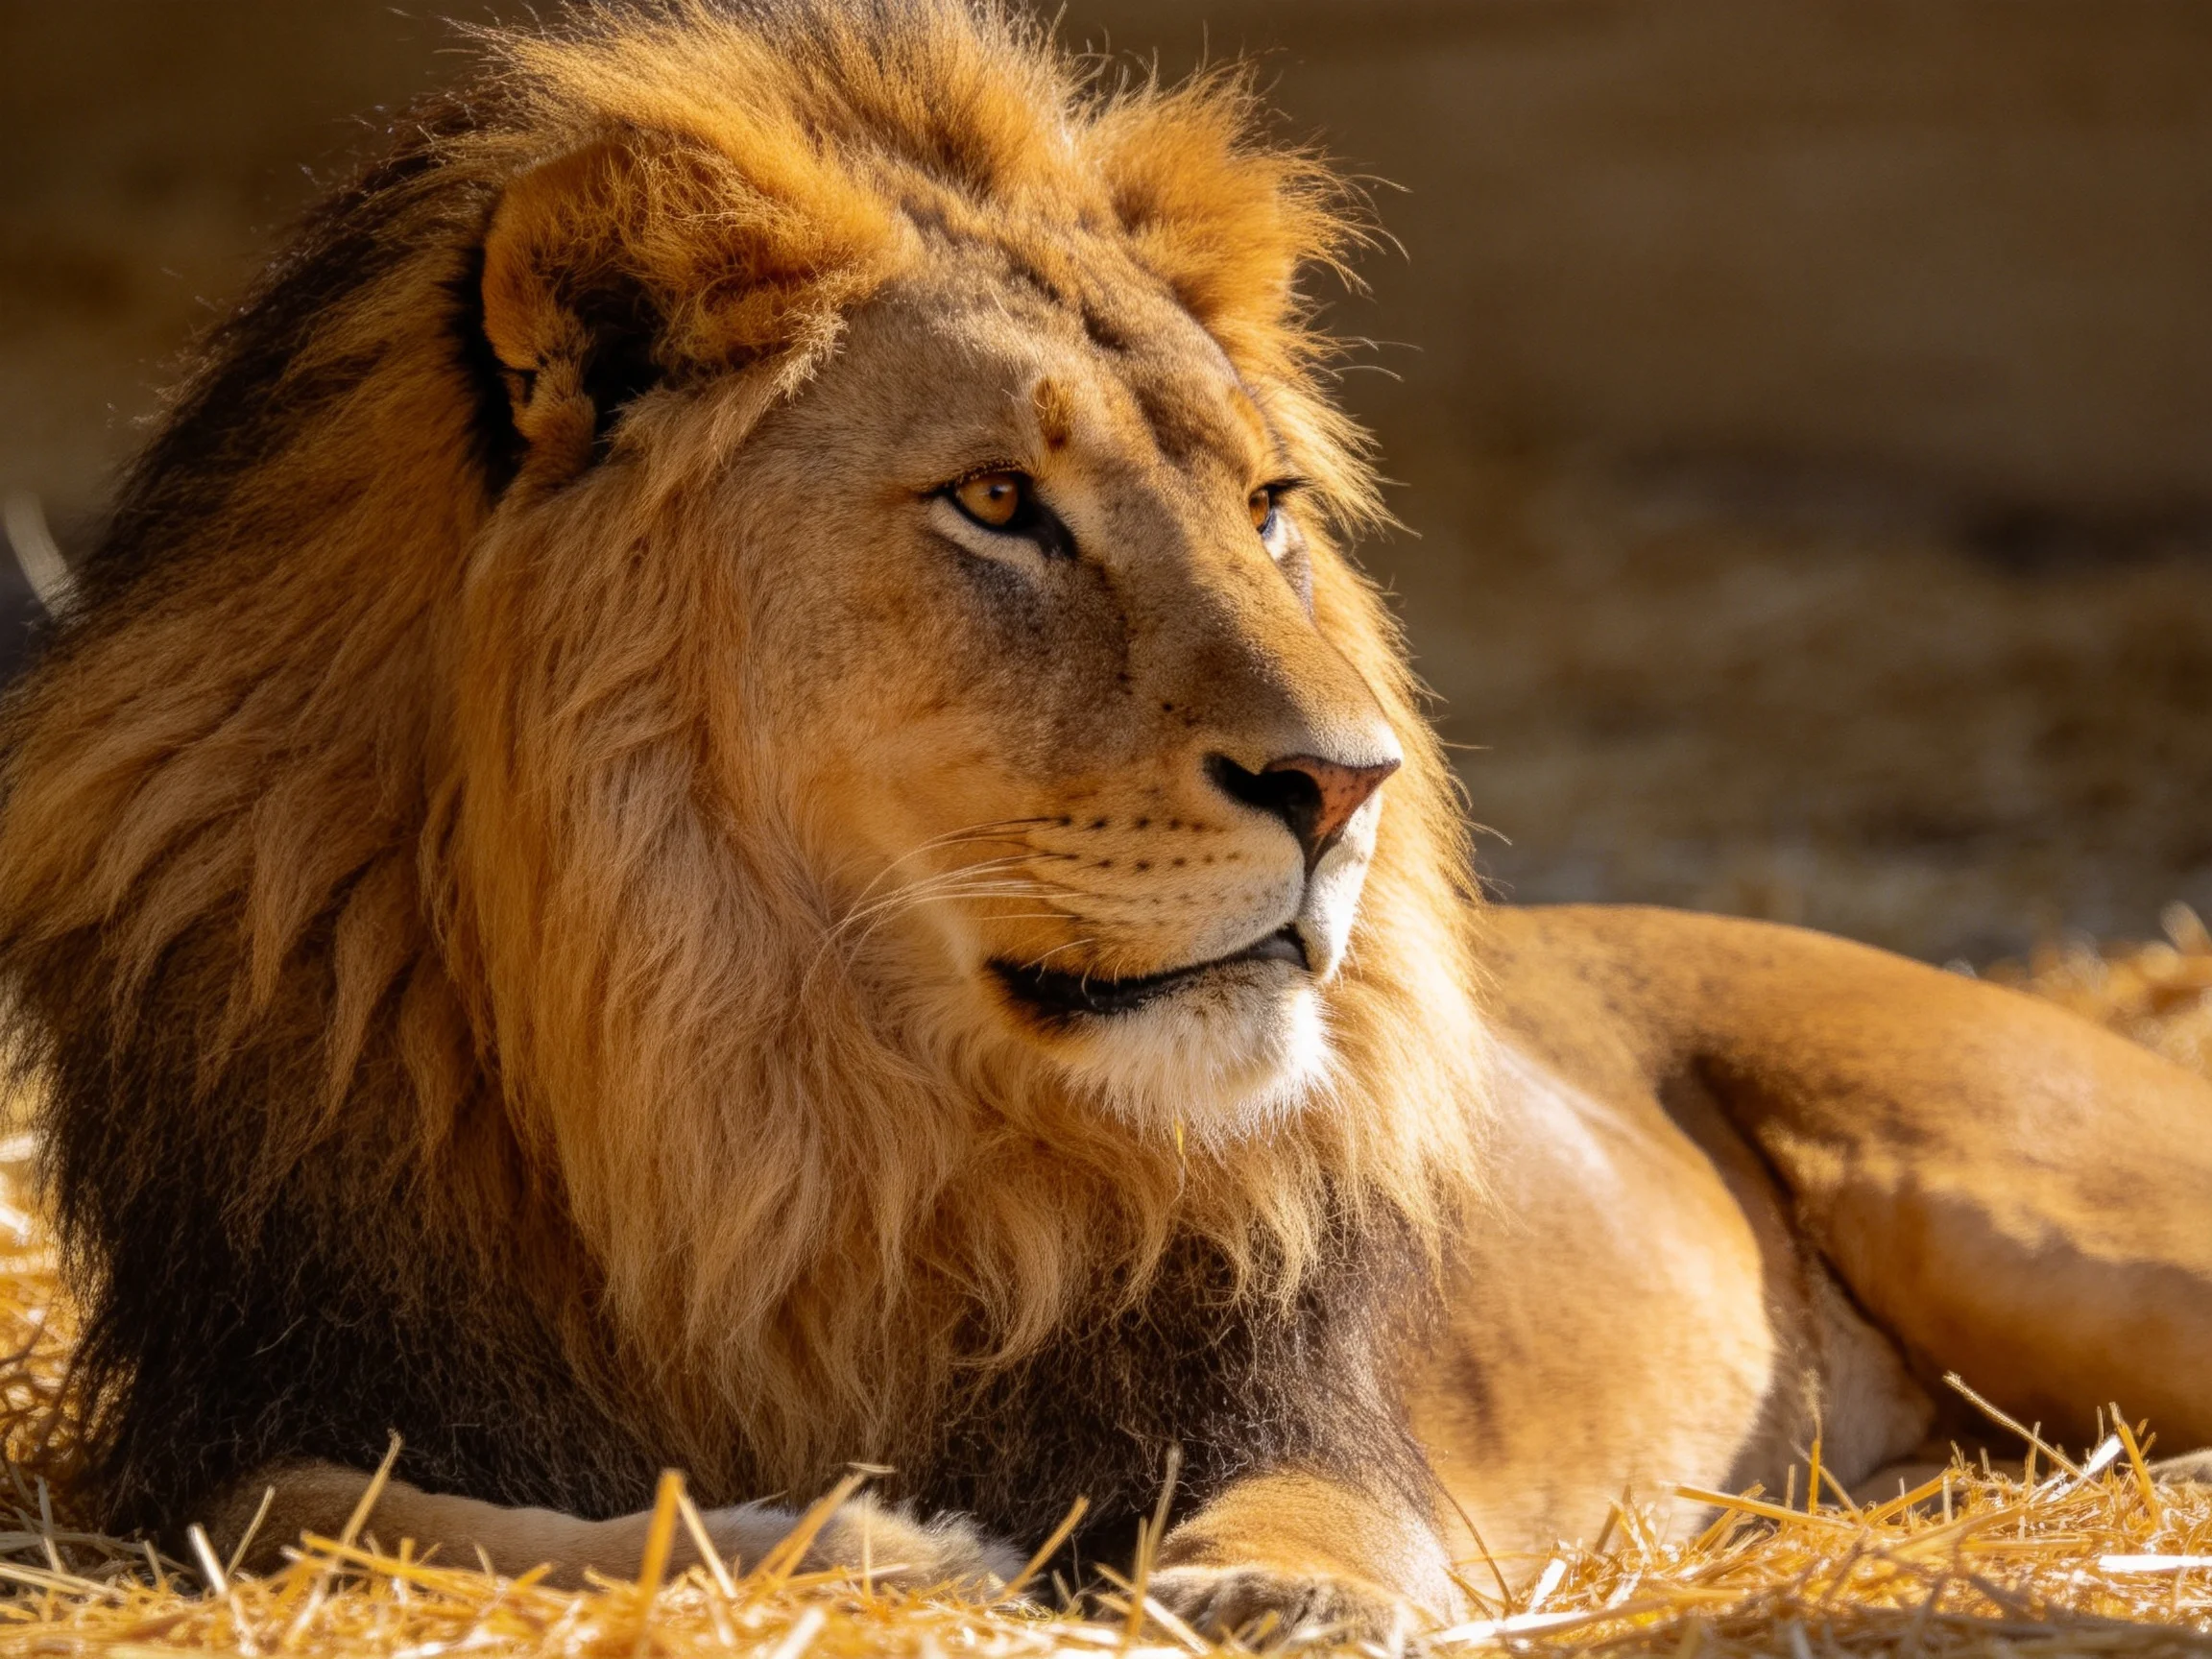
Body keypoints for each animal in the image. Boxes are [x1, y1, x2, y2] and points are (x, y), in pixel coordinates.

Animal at [0, 0, 2205, 1641]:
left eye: (1266, 508)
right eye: (997, 503)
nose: (1348, 786)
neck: (764, 1083)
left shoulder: (1284, 1389)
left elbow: (1326, 1503)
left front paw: (1269, 1590)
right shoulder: (249, 1407)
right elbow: (337, 1501)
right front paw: (881, 1548)